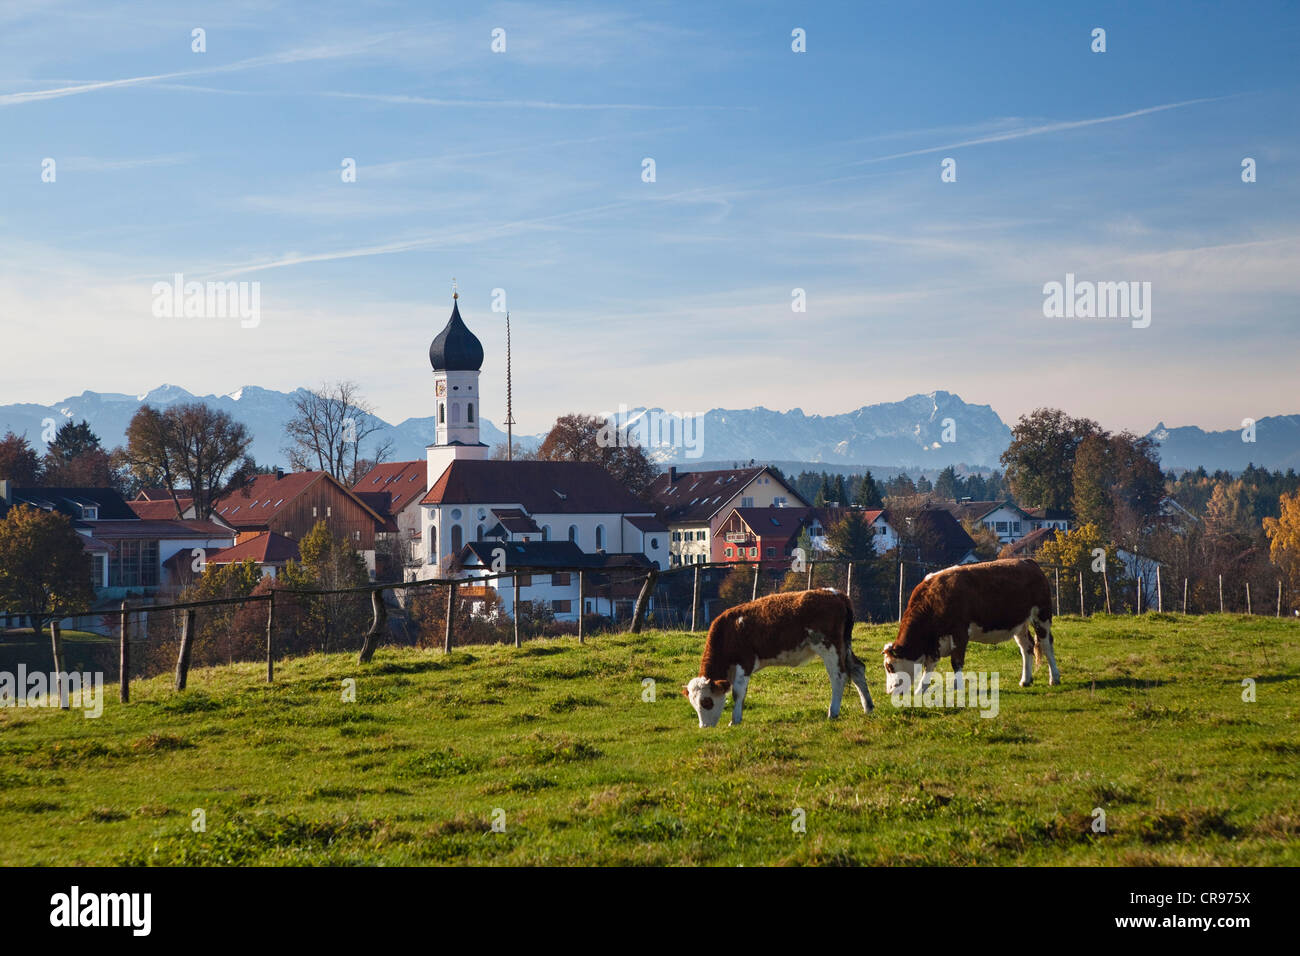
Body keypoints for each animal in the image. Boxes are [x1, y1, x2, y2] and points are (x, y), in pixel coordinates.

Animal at [681, 587, 873, 728]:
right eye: (693, 704)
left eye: (706, 702)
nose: (704, 727)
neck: (729, 630)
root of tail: (836, 594)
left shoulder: (745, 661)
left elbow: (738, 692)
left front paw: (734, 720)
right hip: (844, 646)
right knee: (857, 669)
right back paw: (868, 707)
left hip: (829, 647)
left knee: (838, 676)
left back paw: (833, 712)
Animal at [883, 554, 1055, 697]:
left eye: (890, 666)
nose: (889, 691)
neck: (933, 600)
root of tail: (1029, 562)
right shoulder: (935, 644)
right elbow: (929, 667)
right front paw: (920, 690)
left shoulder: (959, 632)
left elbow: (956, 662)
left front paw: (957, 687)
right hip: (1019, 623)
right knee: (1027, 647)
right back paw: (1025, 680)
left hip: (1042, 615)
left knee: (1046, 643)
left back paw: (1054, 678)